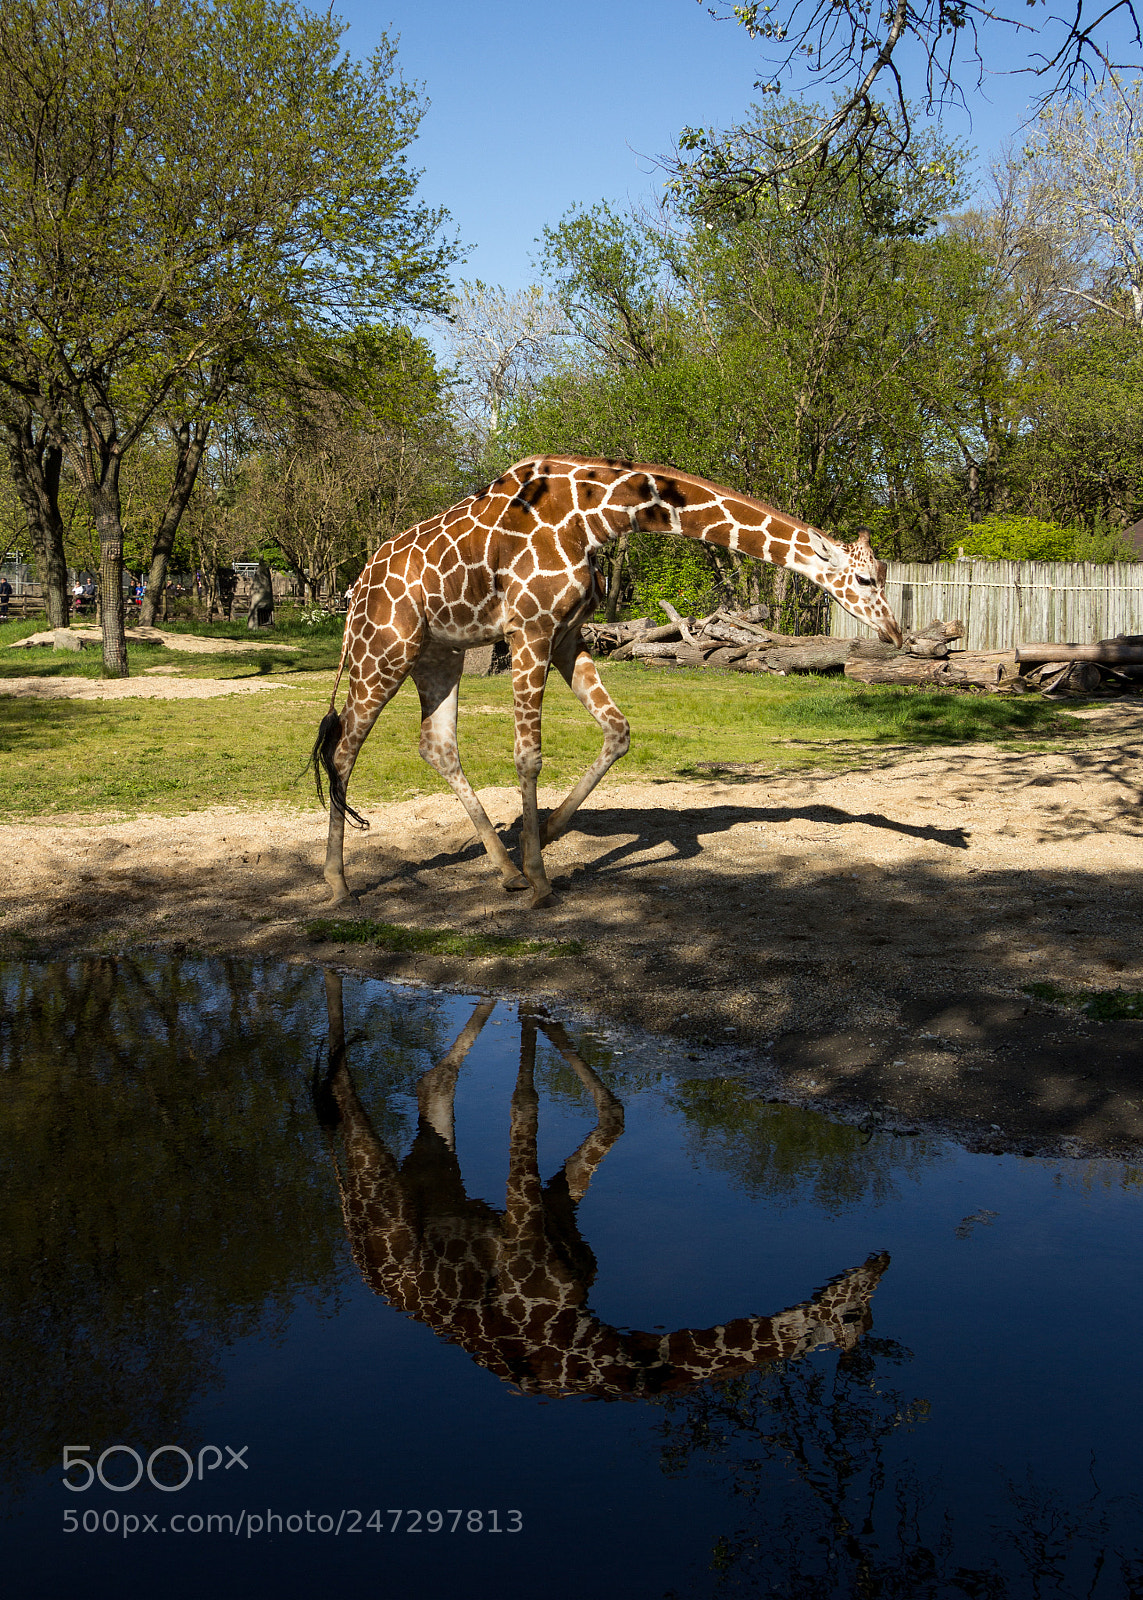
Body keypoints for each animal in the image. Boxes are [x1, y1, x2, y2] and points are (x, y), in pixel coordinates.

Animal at [312, 455, 904, 907]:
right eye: (865, 578)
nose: (895, 633)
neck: (594, 517)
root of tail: (355, 589)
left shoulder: (567, 635)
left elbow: (617, 731)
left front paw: (545, 834)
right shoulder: (530, 629)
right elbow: (528, 756)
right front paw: (542, 882)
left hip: (439, 653)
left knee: (436, 746)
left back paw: (505, 870)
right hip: (385, 649)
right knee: (343, 749)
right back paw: (339, 884)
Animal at [315, 975, 891, 1400]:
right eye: (853, 1314)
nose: (881, 1261)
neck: (603, 1354)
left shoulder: (556, 1211)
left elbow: (612, 1110)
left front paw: (532, 1005)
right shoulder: (524, 1233)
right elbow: (526, 1101)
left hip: (435, 1173)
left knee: (433, 1084)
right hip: (373, 1181)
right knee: (344, 1093)